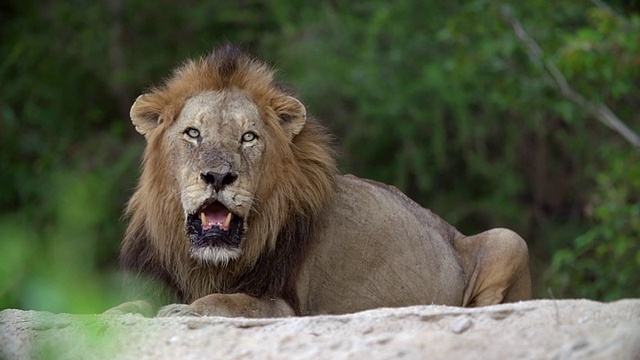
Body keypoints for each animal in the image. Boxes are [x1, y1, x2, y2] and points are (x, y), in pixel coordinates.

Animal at [109, 45, 528, 318]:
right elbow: (128, 305)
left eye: (249, 137)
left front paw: (183, 311)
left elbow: (222, 302)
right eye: (193, 133)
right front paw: (116, 314)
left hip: (510, 239)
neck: (208, 263)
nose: (218, 176)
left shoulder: (282, 305)